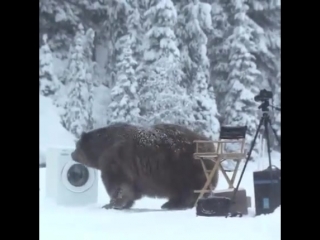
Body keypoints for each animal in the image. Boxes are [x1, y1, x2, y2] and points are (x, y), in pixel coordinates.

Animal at [71, 123, 219, 209]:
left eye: (77, 146)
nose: (72, 154)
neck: (101, 150)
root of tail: (210, 143)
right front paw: (123, 204)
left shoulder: (116, 161)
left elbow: (119, 185)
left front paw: (111, 204)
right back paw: (169, 203)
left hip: (184, 167)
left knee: (190, 189)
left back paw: (176, 204)